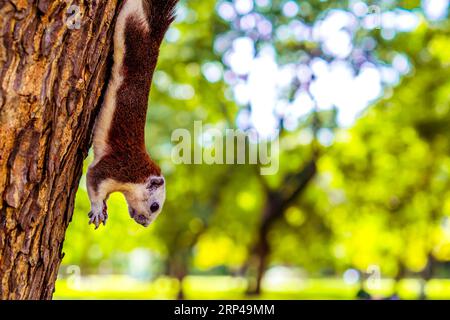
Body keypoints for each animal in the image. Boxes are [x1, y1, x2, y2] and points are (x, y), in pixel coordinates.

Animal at [86, 0, 178, 230]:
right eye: (154, 206)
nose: (144, 224)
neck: (138, 177)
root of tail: (153, 36)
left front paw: (104, 208)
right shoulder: (116, 169)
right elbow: (93, 179)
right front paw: (98, 209)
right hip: (131, 25)